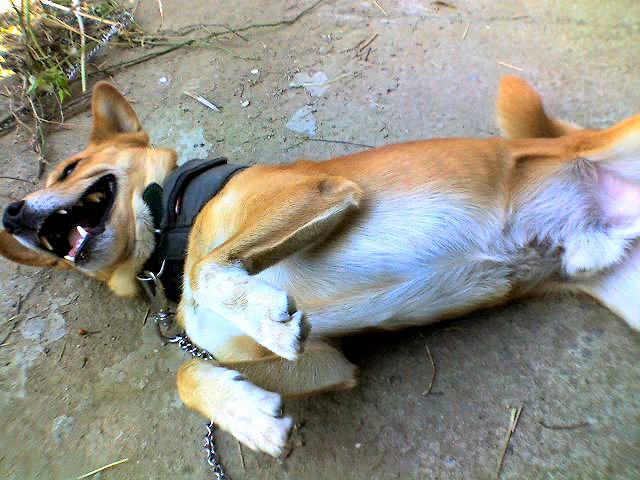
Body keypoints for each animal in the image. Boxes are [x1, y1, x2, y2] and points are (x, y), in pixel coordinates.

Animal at [1, 76, 640, 458]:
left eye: (69, 168)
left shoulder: (322, 192)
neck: (175, 222)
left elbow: (209, 268)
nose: (11, 214)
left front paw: (262, 314)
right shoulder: (328, 360)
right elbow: (187, 373)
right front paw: (251, 416)